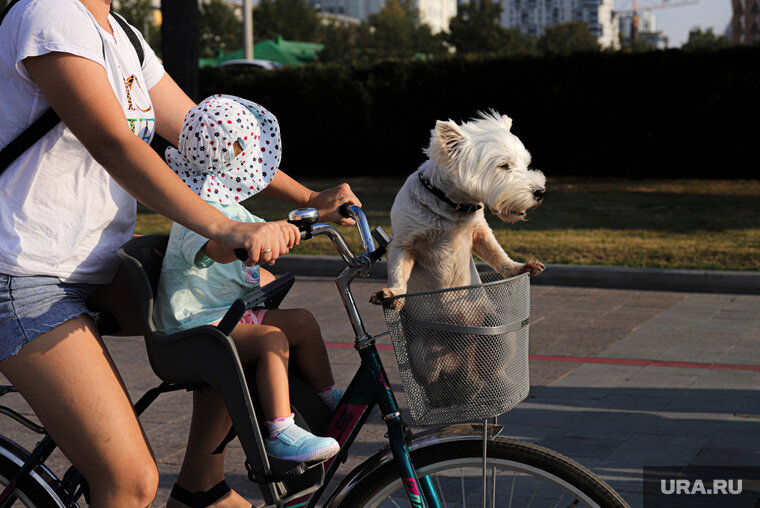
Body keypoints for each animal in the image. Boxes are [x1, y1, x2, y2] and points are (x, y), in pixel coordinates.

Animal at [370, 110, 544, 306]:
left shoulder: (480, 231)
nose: (541, 192)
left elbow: (496, 252)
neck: (452, 206)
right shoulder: (403, 241)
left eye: (526, 164)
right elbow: (397, 269)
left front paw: (519, 267)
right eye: (504, 165)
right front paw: (392, 293)